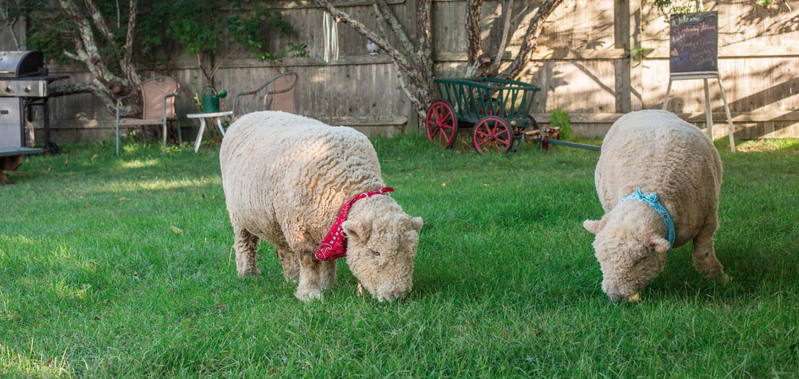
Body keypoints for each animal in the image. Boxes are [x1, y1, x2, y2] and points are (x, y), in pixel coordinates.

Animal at [216, 110, 422, 302]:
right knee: (245, 244)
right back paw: (247, 274)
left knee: (283, 247)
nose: (398, 296)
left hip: (277, 217)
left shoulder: (324, 226)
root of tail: (246, 115)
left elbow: (328, 261)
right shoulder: (300, 229)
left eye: (411, 253)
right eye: (375, 252)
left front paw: (327, 285)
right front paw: (310, 293)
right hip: (237, 214)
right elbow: (309, 260)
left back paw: (291, 277)